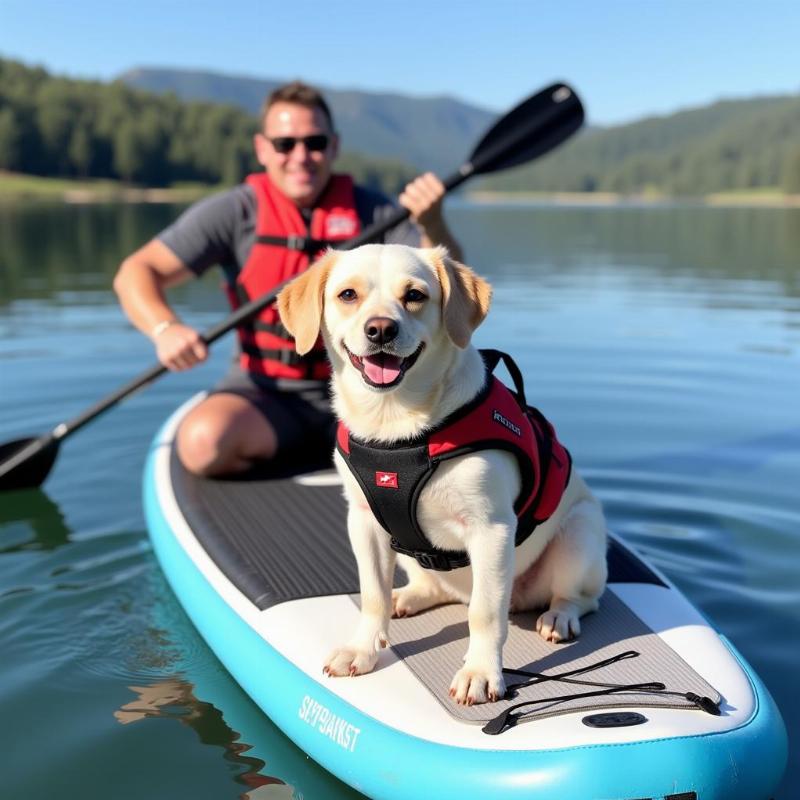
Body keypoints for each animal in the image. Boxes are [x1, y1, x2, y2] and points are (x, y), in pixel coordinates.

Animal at [276, 245, 608, 708]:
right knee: (429, 587)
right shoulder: (363, 520)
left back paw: (559, 616)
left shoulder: (491, 530)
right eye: (348, 295)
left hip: (579, 535)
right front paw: (363, 650)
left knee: (579, 598)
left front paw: (480, 673)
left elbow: (484, 614)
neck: (396, 423)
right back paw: (408, 597)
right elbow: (372, 595)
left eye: (415, 295)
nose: (381, 329)